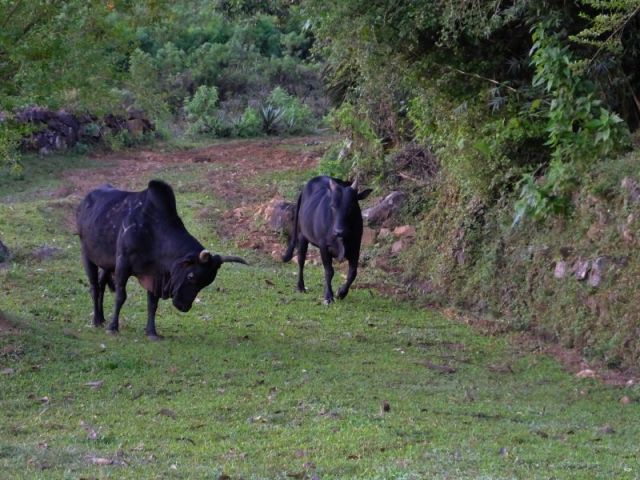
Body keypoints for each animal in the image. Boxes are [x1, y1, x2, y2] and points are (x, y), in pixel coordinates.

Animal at [76, 180, 247, 340]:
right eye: (191, 276)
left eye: (205, 283)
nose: (184, 306)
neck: (153, 233)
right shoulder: (123, 264)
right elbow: (120, 296)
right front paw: (113, 327)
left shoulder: (155, 275)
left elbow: (153, 304)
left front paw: (152, 332)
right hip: (87, 255)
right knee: (94, 286)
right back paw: (96, 320)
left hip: (106, 263)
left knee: (101, 284)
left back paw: (101, 318)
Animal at [282, 175, 372, 304]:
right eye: (333, 206)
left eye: (351, 206)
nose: (339, 231)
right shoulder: (324, 246)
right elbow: (329, 271)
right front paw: (328, 296)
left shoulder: (356, 248)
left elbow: (352, 273)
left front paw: (341, 293)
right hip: (302, 236)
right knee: (301, 260)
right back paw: (300, 286)